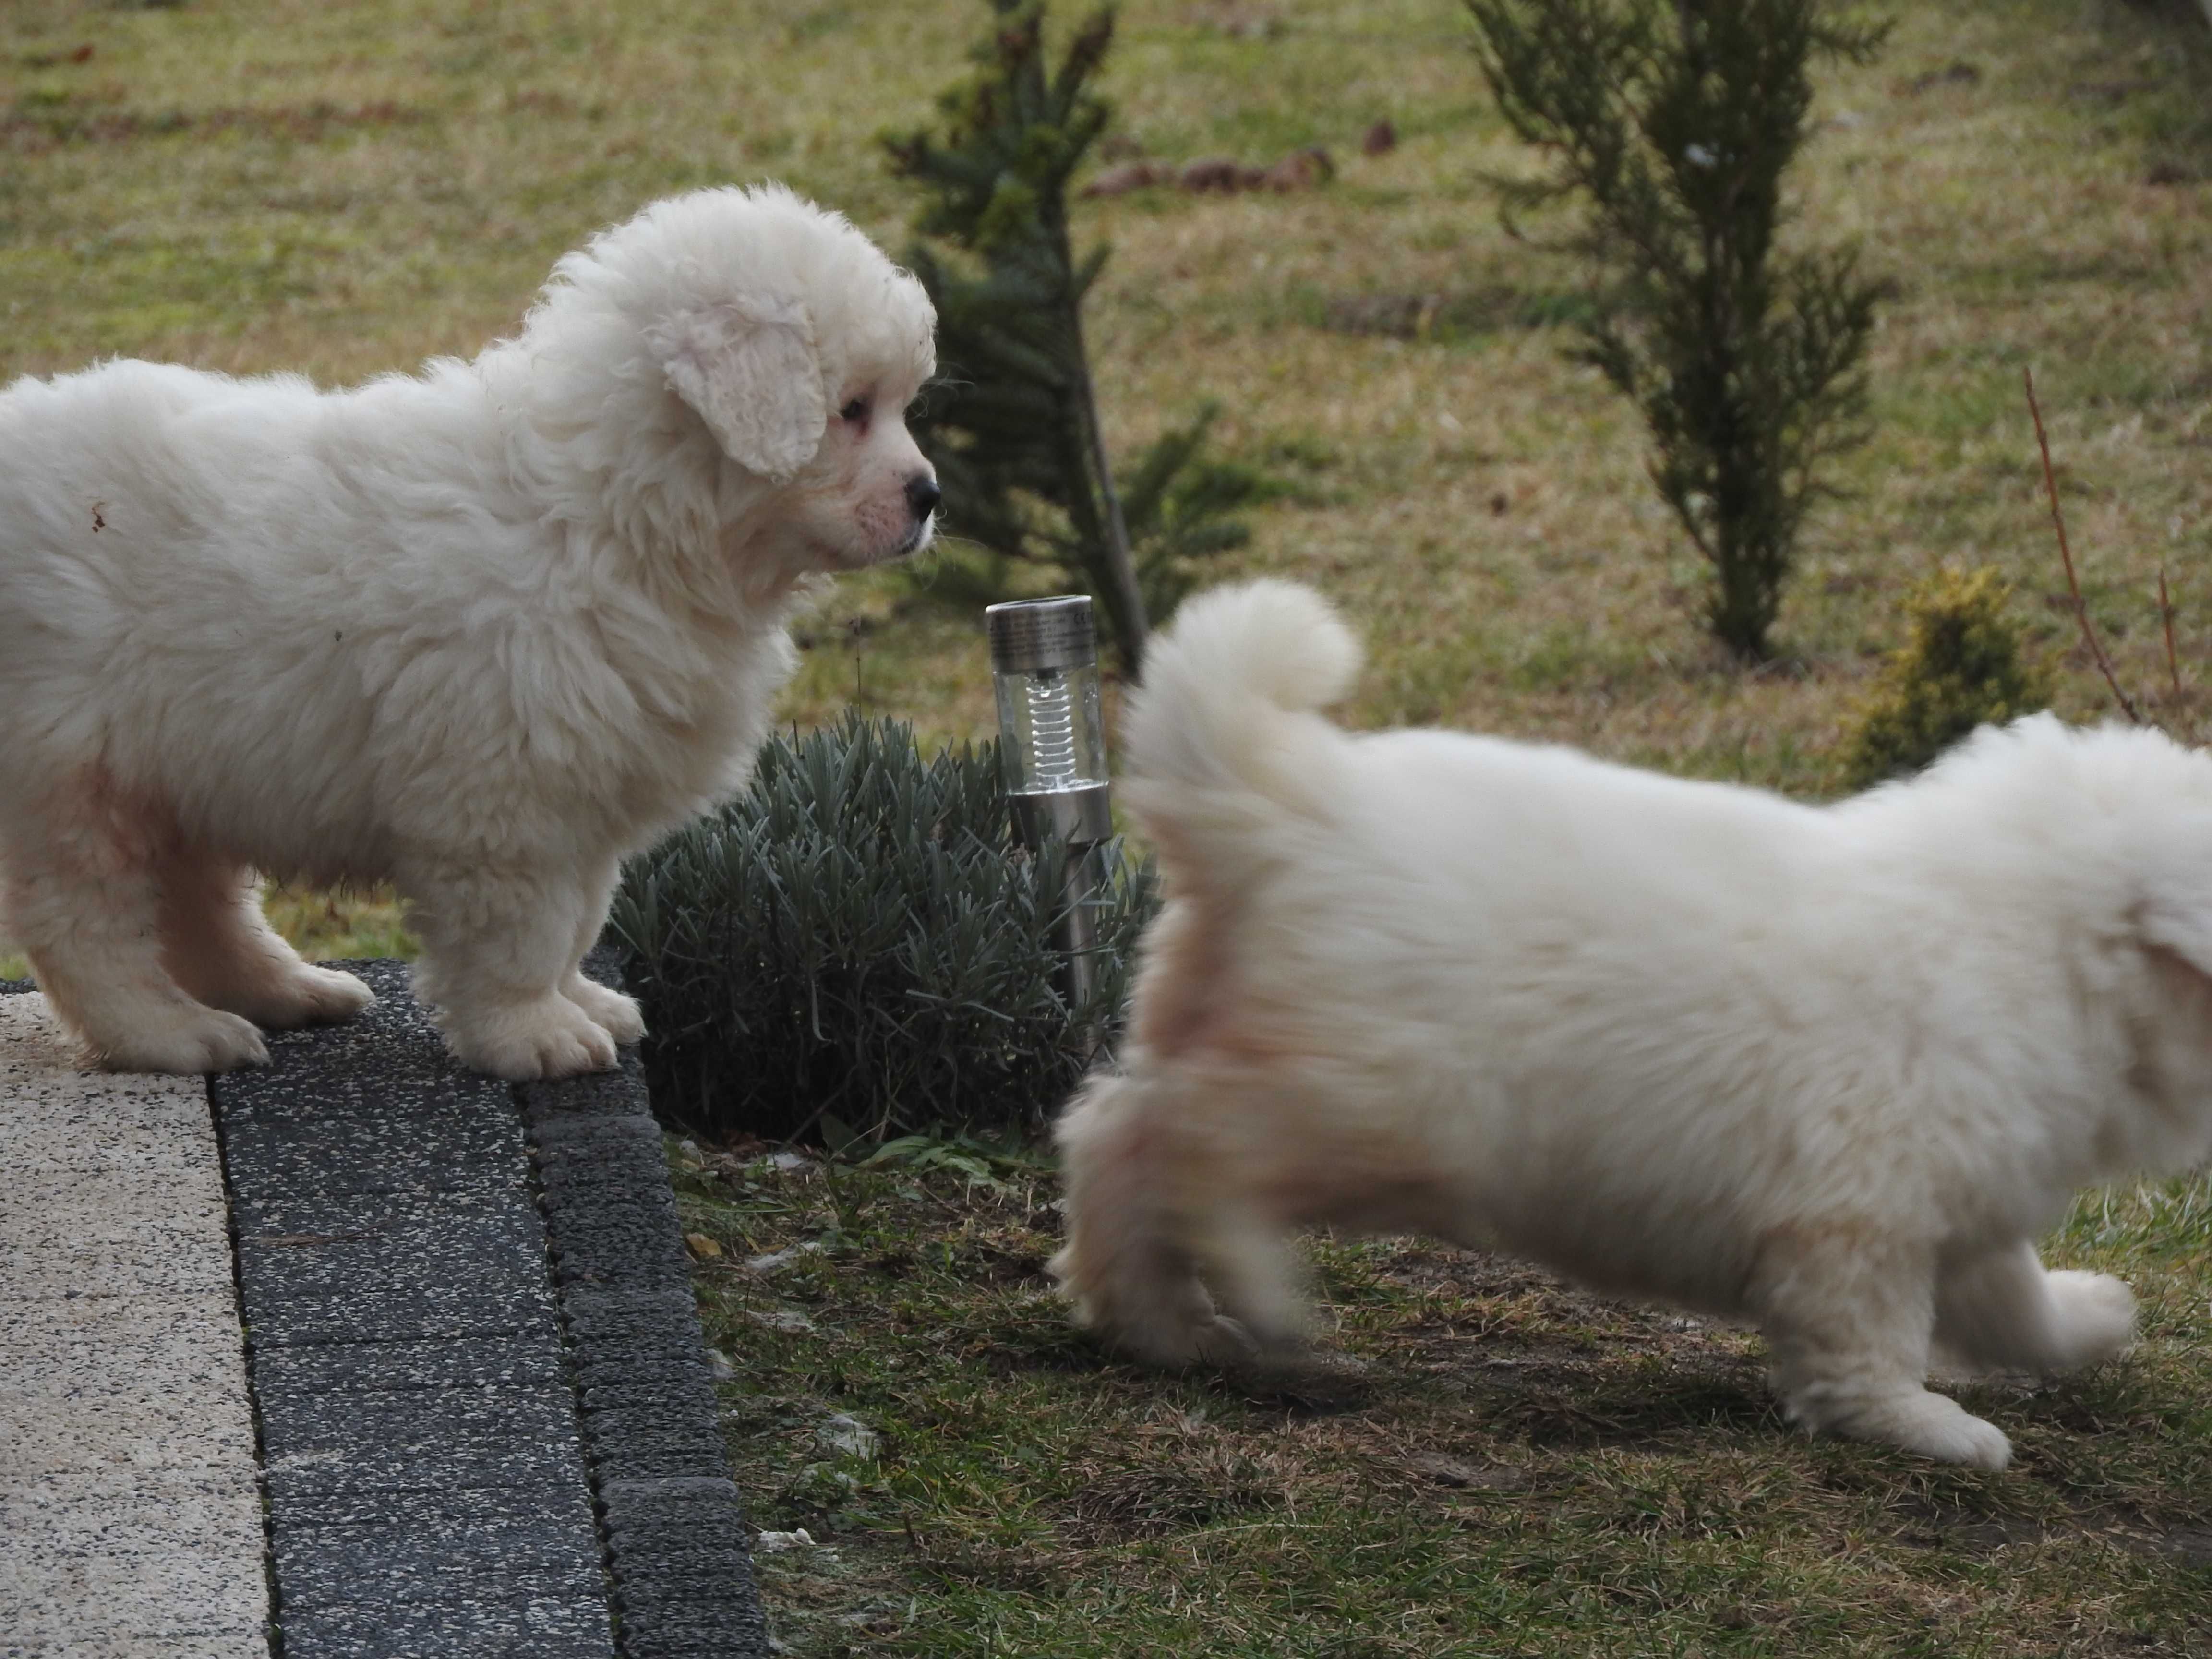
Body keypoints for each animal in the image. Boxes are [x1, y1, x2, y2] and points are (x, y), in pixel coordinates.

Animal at [0, 188, 933, 1083]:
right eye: (852, 410)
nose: (929, 497)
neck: (611, 509)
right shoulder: (505, 792)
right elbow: (524, 931)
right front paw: (535, 1035)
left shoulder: (589, 788)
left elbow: (580, 917)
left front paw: (584, 1002)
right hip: (72, 770)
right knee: (85, 924)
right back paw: (172, 1033)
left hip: (190, 762)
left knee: (199, 903)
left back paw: (287, 990)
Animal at [1044, 579, 2212, 1468]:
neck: (2047, 947)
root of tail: (1286, 805)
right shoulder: (1860, 1226)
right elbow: (1872, 1349)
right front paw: (1932, 1429)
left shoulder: (1960, 1207)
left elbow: (2018, 1305)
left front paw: (2093, 1317)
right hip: (1378, 1106)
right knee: (1197, 1149)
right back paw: (1256, 1294)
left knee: (1114, 1135)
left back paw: (1158, 1324)